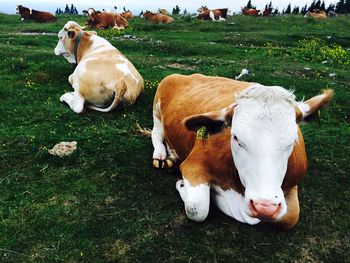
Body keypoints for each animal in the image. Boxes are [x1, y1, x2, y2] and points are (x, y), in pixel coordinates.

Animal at [151, 73, 334, 230]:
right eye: (236, 138)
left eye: (291, 142)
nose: (264, 207)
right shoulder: (193, 164)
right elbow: (197, 208)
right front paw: (183, 185)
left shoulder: (292, 184)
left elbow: (290, 218)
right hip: (157, 112)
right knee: (156, 133)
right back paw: (161, 155)